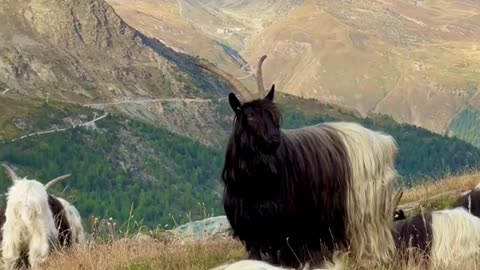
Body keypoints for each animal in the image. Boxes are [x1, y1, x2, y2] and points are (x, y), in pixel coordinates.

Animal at [195, 56, 398, 266]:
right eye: (250, 116)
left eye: (273, 113)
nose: (274, 138)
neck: (255, 184)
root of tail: (383, 141)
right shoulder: (251, 229)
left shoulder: (283, 227)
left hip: (365, 211)